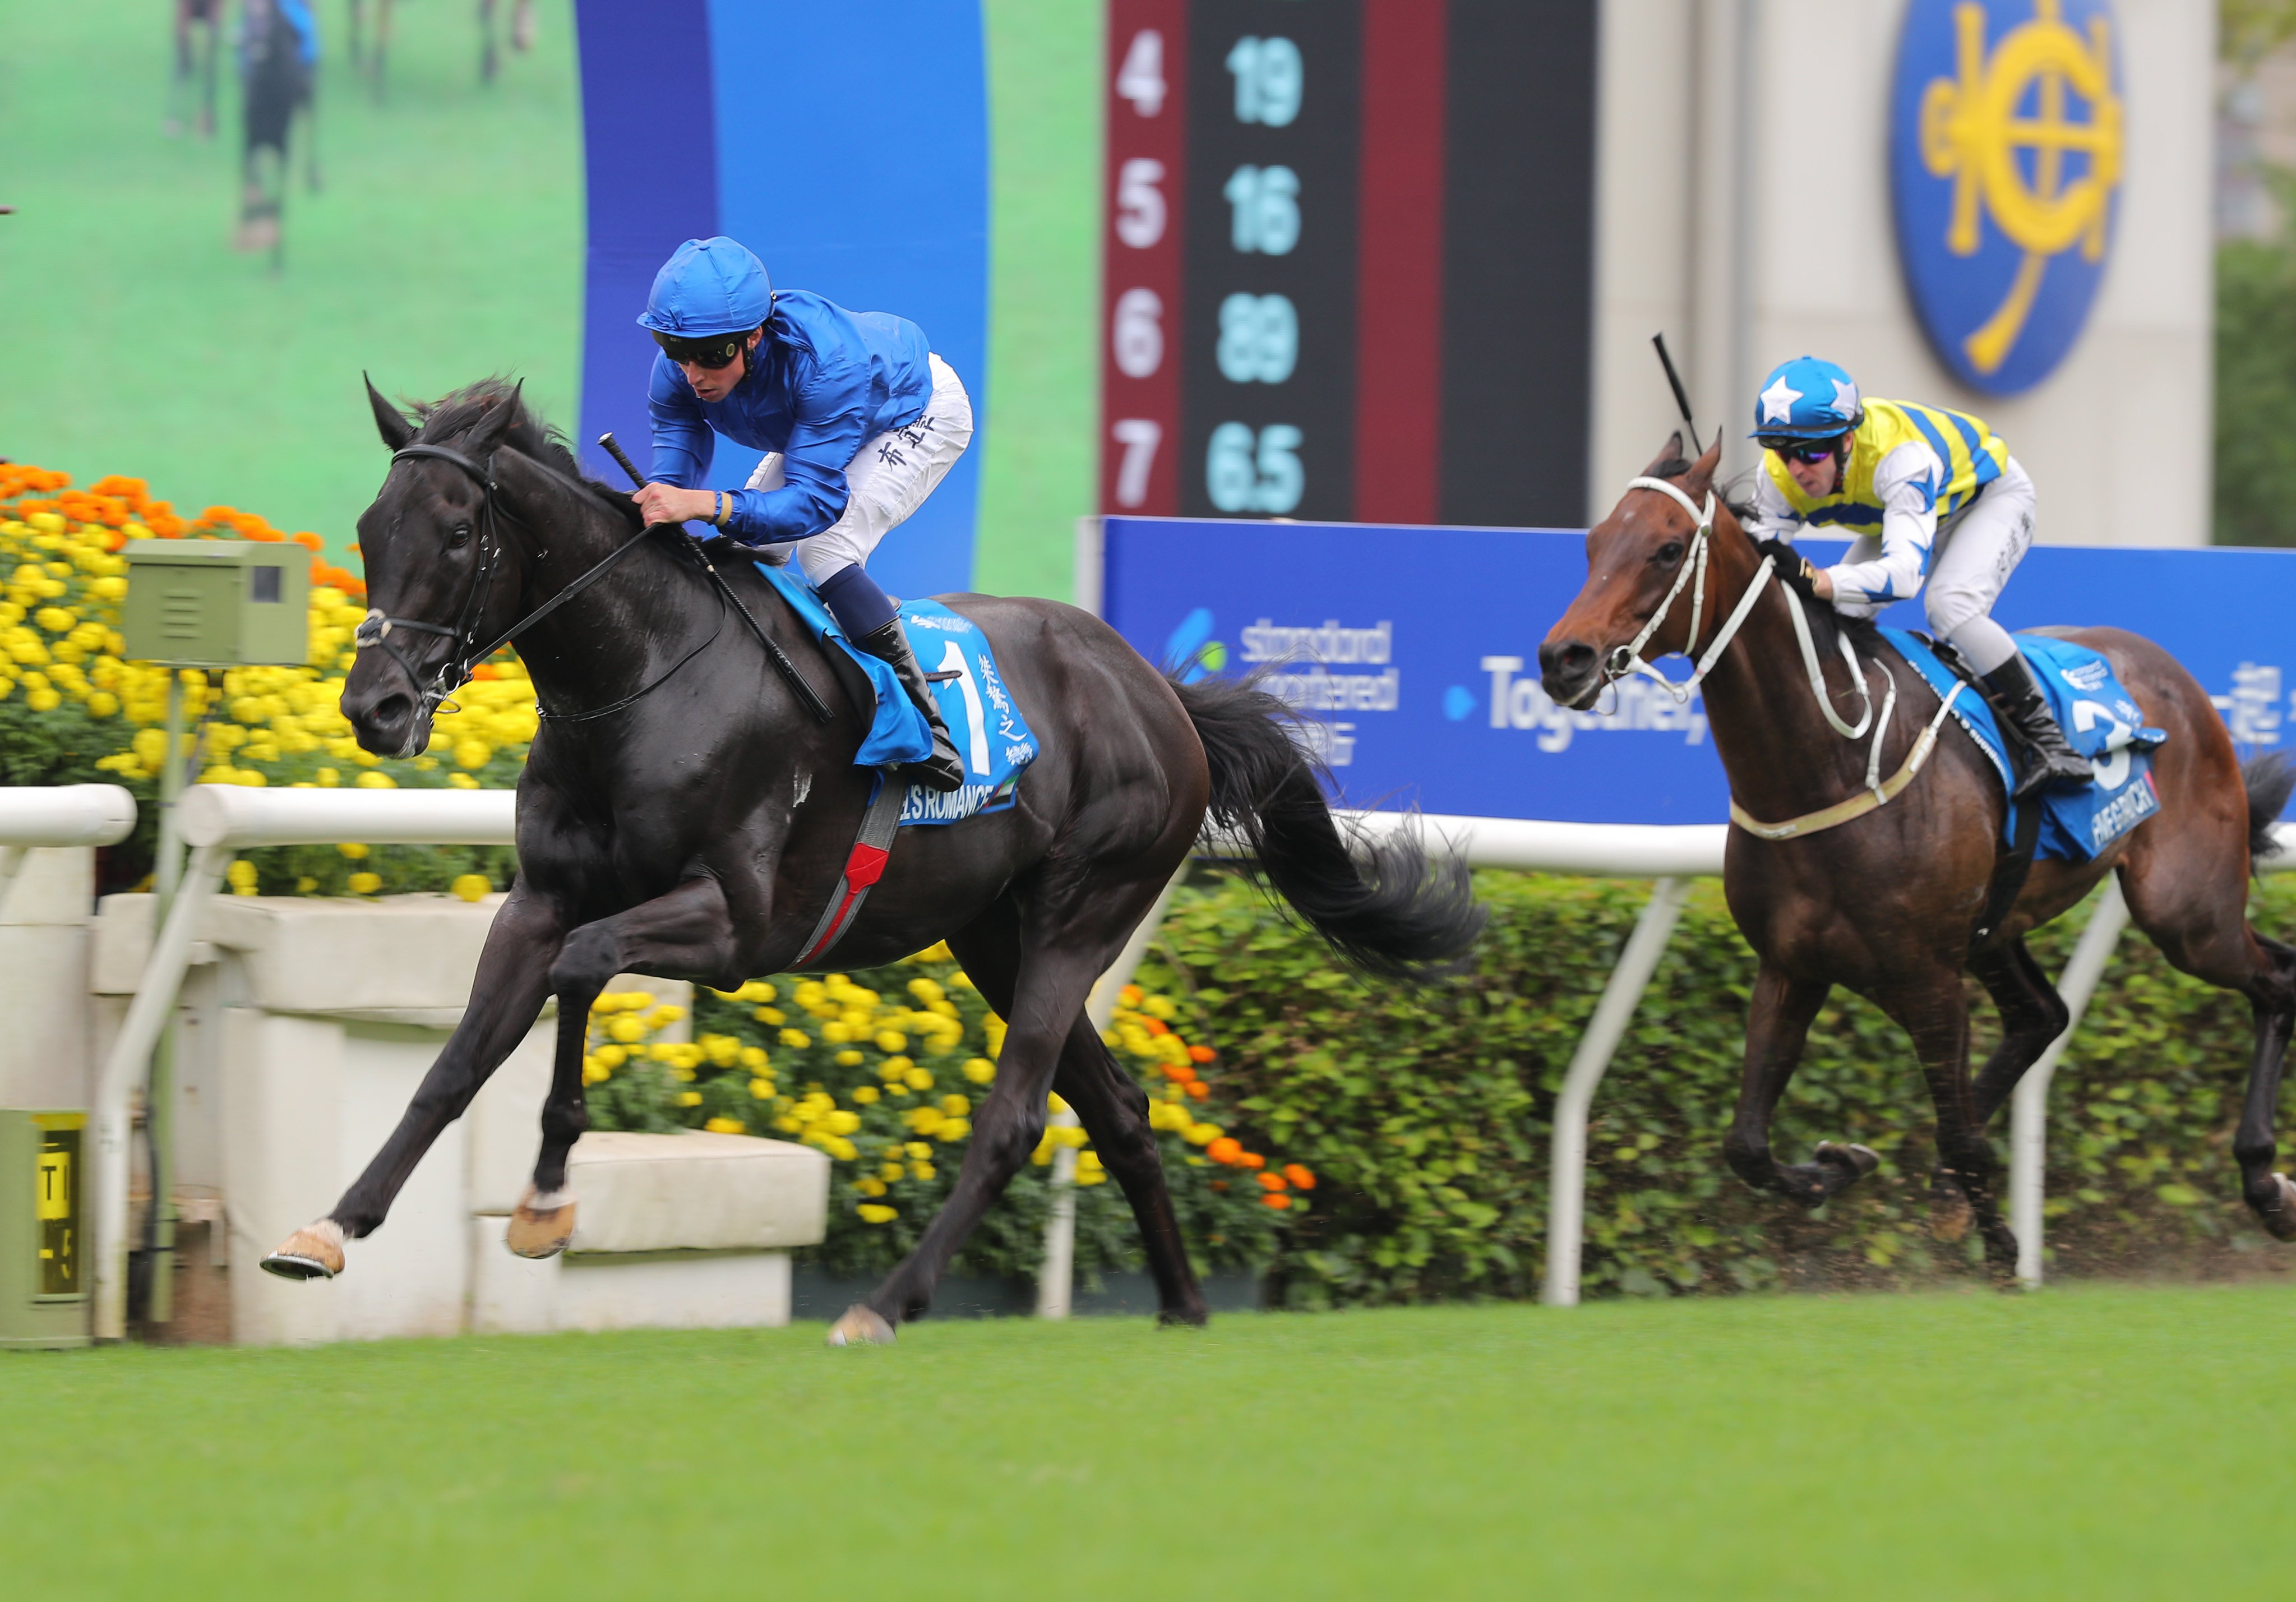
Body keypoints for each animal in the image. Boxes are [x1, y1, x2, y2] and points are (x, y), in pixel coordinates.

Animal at [260, 376, 1479, 1331]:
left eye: (456, 535)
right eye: (369, 531)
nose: (374, 707)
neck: (643, 674)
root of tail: (1161, 693)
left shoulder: (734, 923)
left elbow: (583, 967)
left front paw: (548, 1199)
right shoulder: (541, 898)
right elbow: (455, 1065)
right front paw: (329, 1227)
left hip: (1084, 910)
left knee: (1014, 1118)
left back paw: (887, 1304)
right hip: (997, 935)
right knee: (1120, 1108)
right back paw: (1180, 1304)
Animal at [1542, 431, 2295, 1267]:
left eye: (1668, 549)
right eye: (1593, 543)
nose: (1563, 659)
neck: (1826, 764)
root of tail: (2176, 679)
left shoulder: (1929, 979)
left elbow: (1959, 1132)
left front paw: (2004, 1249)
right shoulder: (1792, 967)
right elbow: (1746, 1145)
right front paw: (1838, 1165)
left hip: (2185, 909)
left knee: (2274, 982)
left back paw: (2265, 1181)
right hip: (2000, 924)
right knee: (2043, 1015)